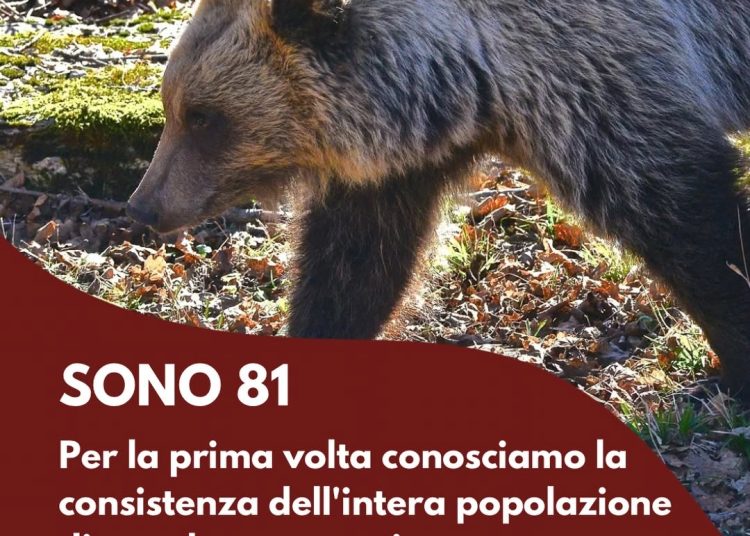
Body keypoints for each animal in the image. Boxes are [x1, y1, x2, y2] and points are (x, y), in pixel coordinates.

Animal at [127, 0, 750, 399]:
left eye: (203, 117)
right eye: (171, 104)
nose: (143, 206)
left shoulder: (604, 81)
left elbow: (690, 219)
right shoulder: (401, 162)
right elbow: (356, 265)